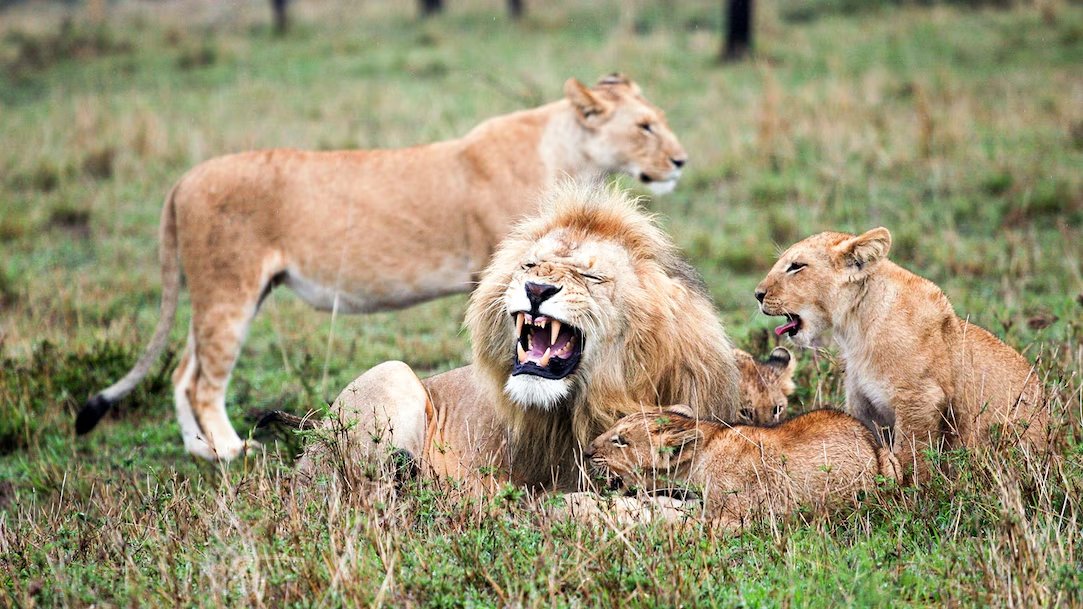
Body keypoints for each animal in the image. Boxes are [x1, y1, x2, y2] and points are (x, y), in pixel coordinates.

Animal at [76, 74, 689, 461]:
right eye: (645, 127)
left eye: (659, 121)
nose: (681, 161)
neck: (572, 155)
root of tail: (182, 179)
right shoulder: (498, 268)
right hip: (229, 291)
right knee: (204, 381)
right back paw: (229, 451)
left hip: (223, 292)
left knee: (183, 372)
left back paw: (198, 450)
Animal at [754, 227, 1050, 481]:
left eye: (796, 266)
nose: (757, 294)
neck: (855, 327)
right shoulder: (865, 404)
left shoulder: (921, 398)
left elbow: (910, 455)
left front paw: (909, 498)